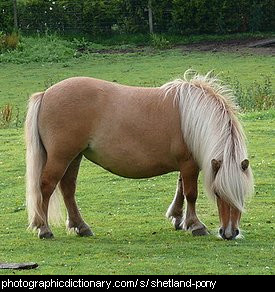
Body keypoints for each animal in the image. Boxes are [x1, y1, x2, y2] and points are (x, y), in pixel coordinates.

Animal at [25, 70, 254, 240]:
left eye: (242, 193)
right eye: (217, 193)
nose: (229, 233)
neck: (194, 117)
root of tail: (46, 94)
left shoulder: (185, 165)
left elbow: (180, 189)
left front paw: (178, 219)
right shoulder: (189, 164)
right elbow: (191, 193)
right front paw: (195, 225)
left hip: (74, 157)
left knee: (68, 189)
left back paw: (81, 227)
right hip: (61, 157)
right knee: (46, 186)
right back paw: (44, 229)